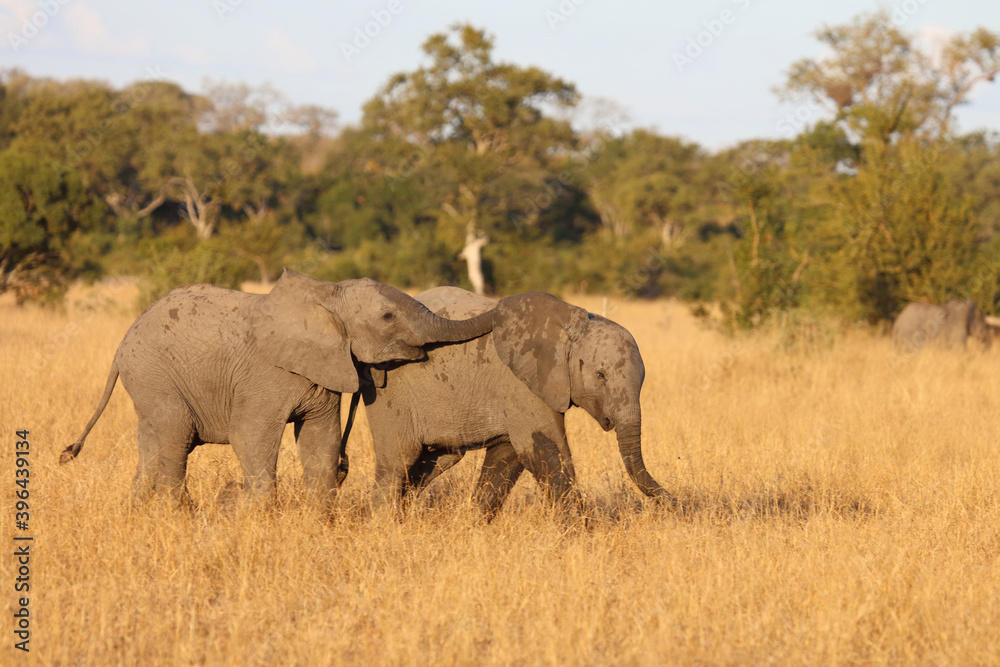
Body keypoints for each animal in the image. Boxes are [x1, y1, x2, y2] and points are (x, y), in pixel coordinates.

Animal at [61, 269, 495, 508]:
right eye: (388, 316)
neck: (326, 296)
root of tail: (122, 343)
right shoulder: (265, 375)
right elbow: (250, 437)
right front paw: (247, 514)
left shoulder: (321, 375)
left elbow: (320, 443)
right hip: (154, 375)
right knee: (175, 438)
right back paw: (180, 515)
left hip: (149, 382)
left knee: (151, 445)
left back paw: (138, 512)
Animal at [361, 287, 671, 518]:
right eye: (600, 375)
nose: (676, 502)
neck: (573, 323)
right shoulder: (520, 383)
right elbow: (545, 450)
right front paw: (581, 537)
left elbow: (507, 456)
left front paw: (474, 525)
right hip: (388, 388)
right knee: (399, 458)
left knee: (432, 462)